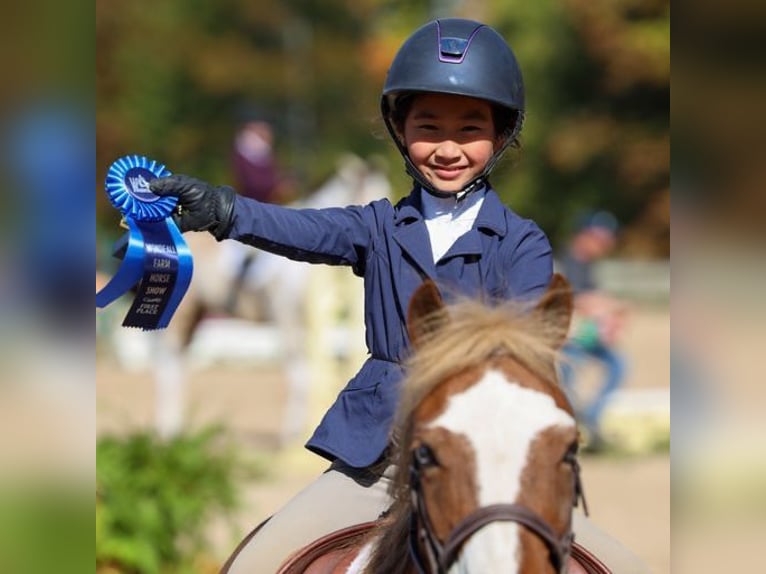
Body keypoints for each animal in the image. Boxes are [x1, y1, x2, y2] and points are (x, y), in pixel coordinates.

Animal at [121, 153, 396, 440]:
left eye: (385, 188)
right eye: (365, 191)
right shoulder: (287, 318)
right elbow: (299, 370)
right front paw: (292, 432)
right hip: (181, 312)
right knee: (168, 362)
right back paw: (169, 429)